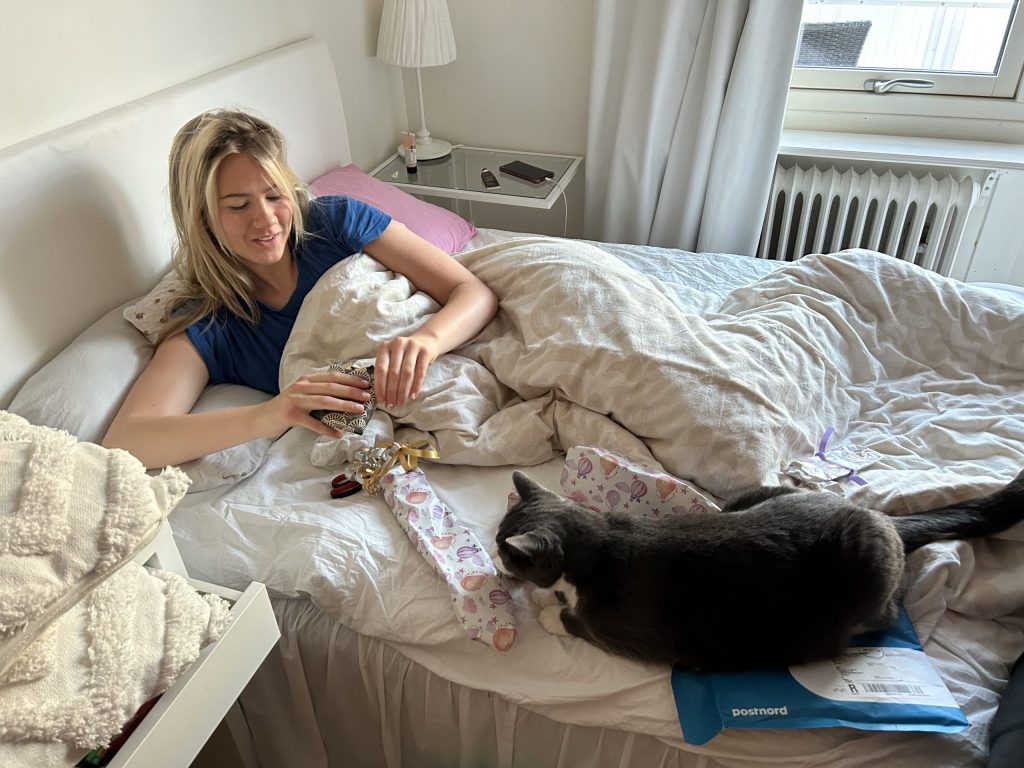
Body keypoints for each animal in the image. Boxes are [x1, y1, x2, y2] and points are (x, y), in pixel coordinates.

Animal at [493, 469, 1024, 671]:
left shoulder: (620, 626)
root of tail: (883, 518)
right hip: (758, 494)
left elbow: (574, 620)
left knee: (888, 611)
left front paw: (546, 606)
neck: (599, 537)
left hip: (867, 578)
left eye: (505, 551)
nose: (496, 562)